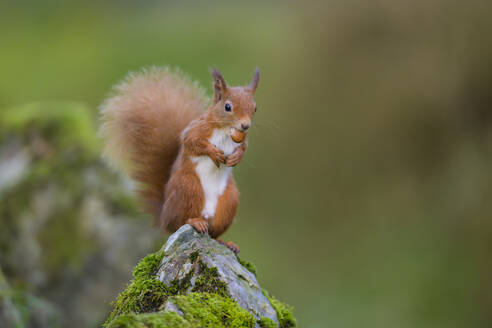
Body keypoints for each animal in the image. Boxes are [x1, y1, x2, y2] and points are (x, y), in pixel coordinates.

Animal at [100, 65, 262, 252]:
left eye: (255, 108)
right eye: (227, 107)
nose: (245, 125)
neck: (226, 131)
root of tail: (163, 216)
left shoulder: (243, 140)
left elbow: (243, 148)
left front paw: (236, 158)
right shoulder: (195, 131)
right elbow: (193, 143)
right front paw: (214, 153)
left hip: (229, 201)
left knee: (213, 233)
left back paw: (226, 243)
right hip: (188, 188)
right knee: (179, 223)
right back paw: (195, 222)